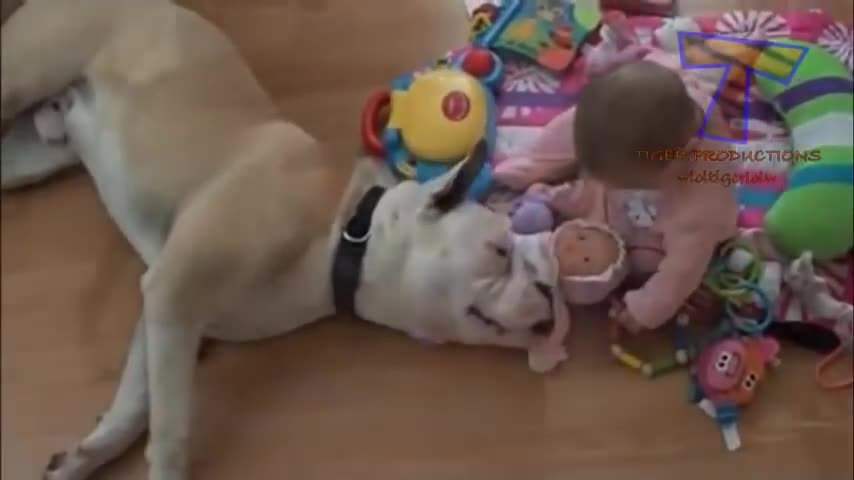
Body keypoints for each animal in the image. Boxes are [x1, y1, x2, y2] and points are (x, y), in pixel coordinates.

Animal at [1, 1, 560, 478]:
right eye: (499, 251)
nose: (552, 297)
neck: (345, 231)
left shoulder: (168, 311)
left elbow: (138, 401)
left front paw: (86, 455)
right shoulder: (174, 290)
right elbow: (171, 427)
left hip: (26, 159)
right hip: (25, 74)